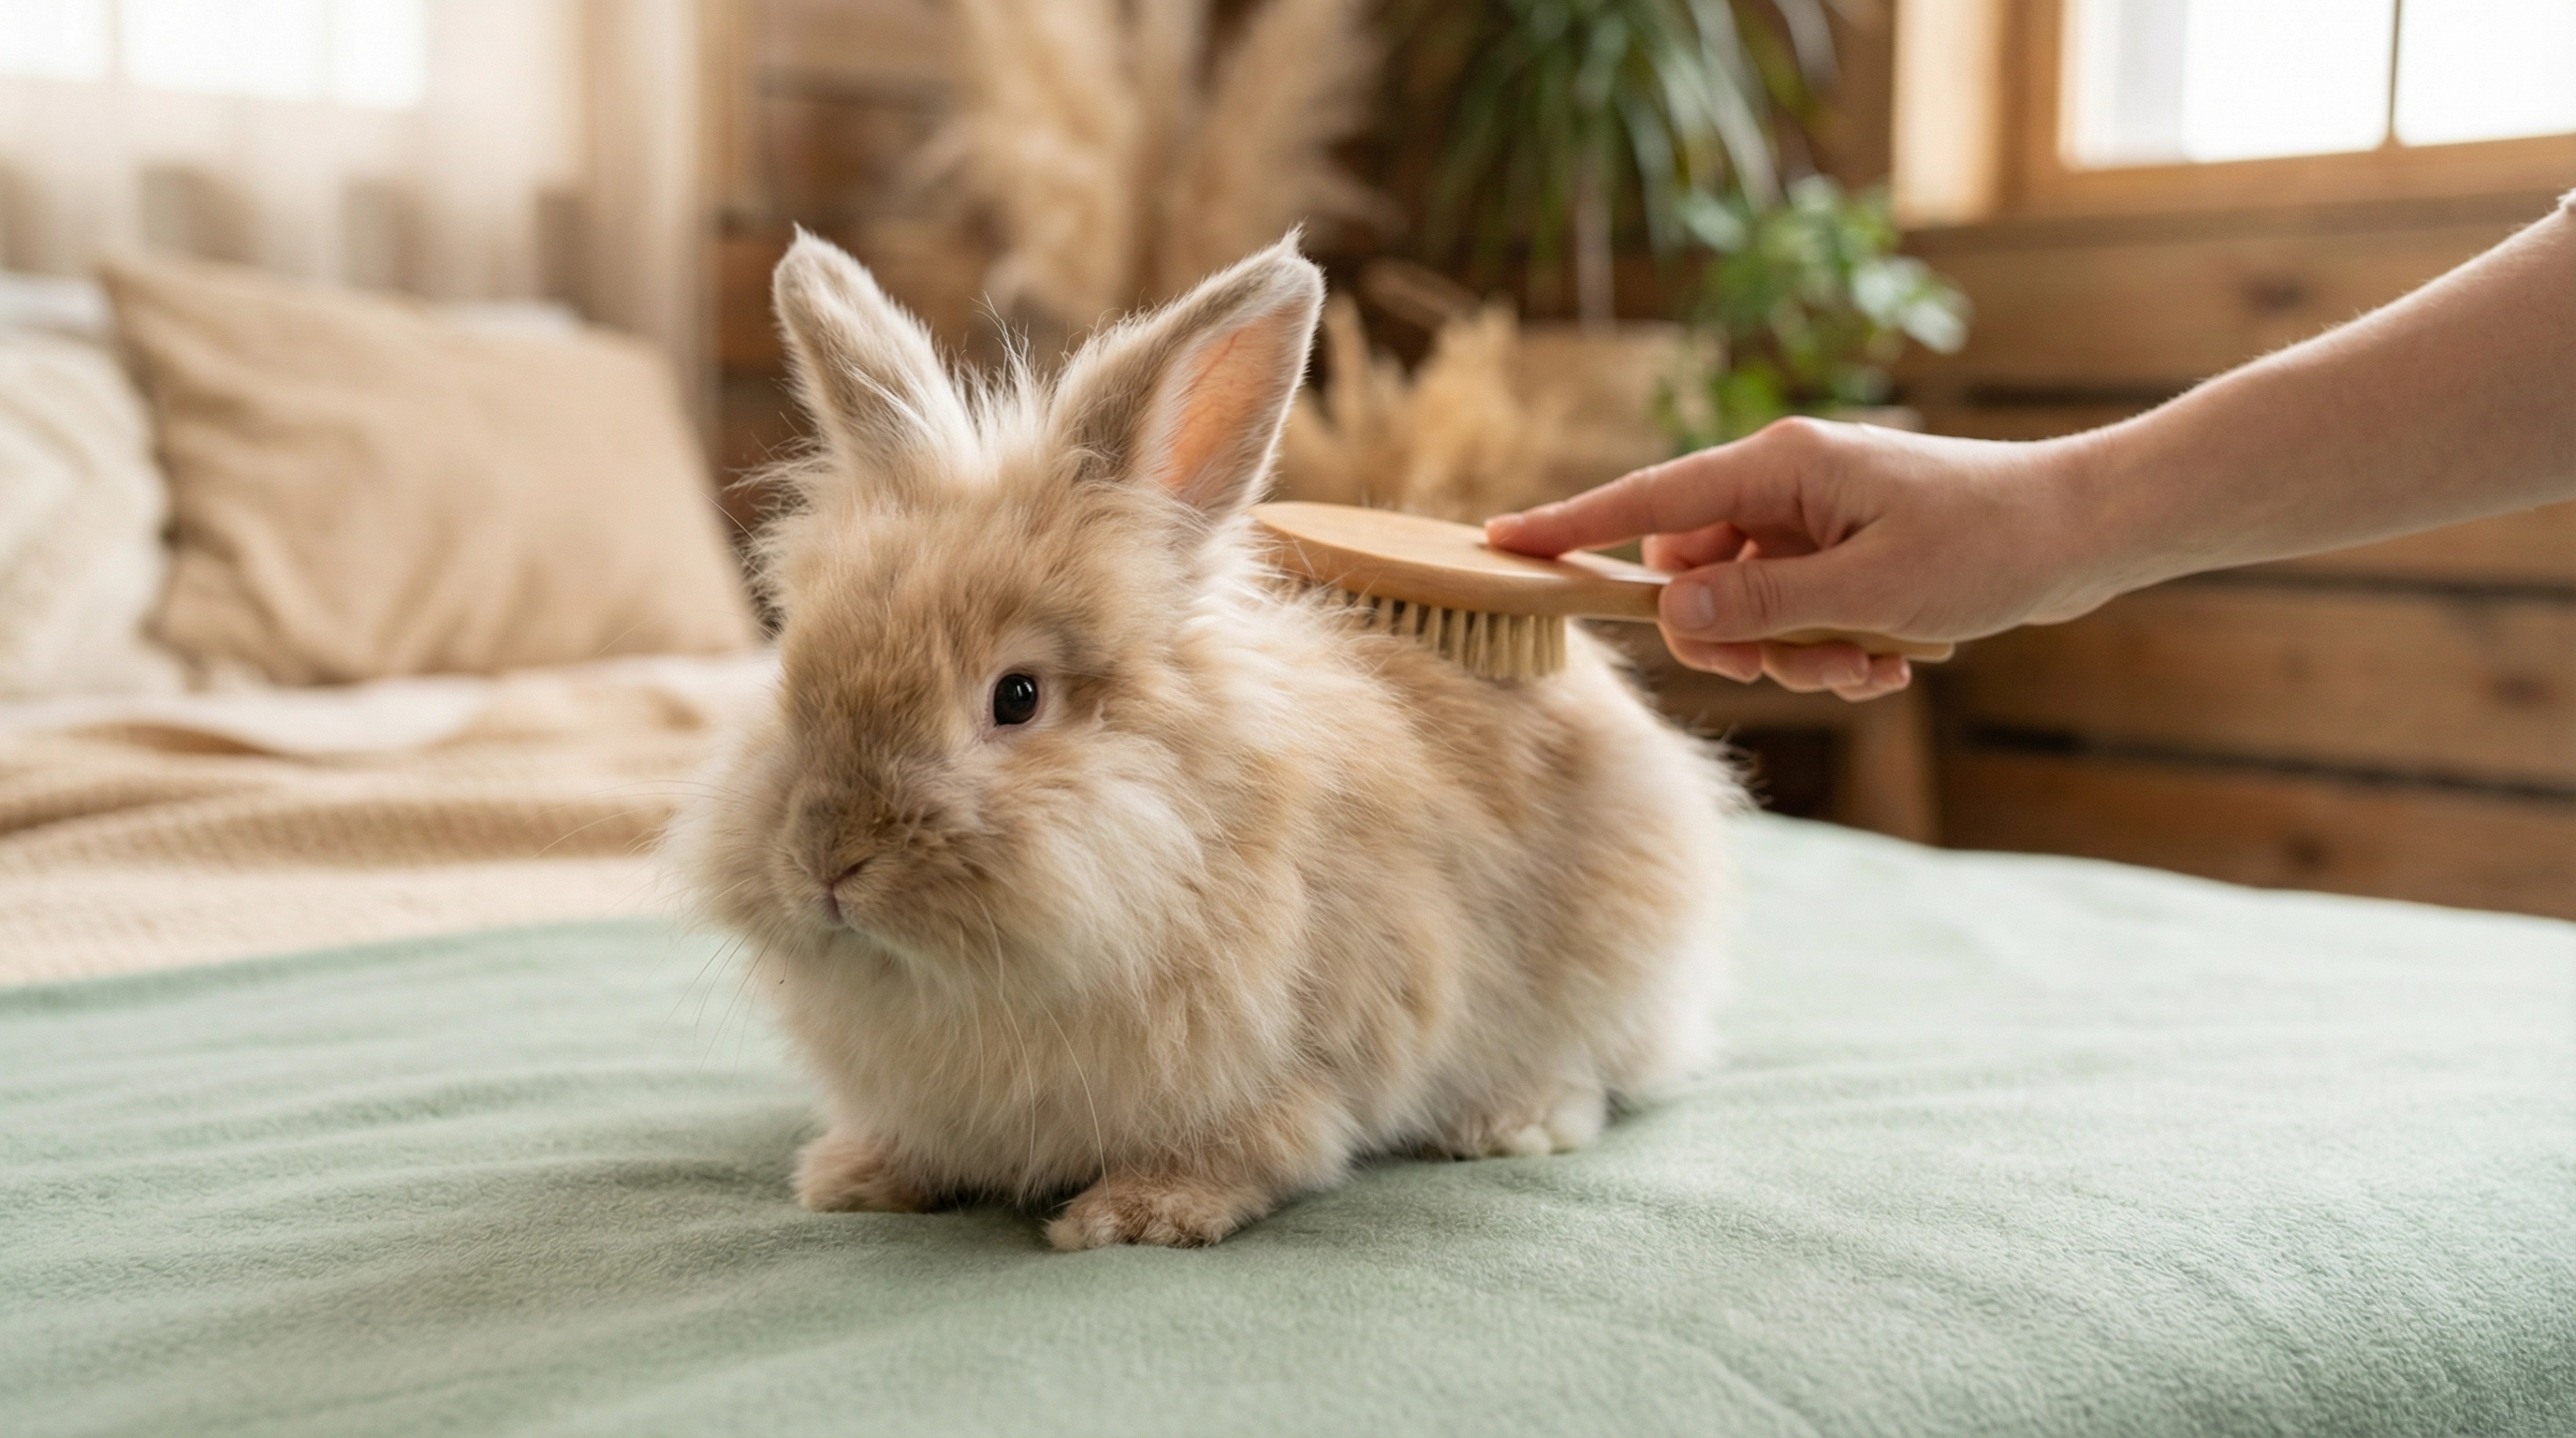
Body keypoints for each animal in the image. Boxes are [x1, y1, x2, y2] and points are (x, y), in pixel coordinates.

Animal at [663, 230, 1744, 1251]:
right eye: (793, 673)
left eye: (1017, 698)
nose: (827, 862)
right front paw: (852, 1177)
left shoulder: (1311, 1060)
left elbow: (1259, 1145)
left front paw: (1137, 1215)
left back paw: (1510, 1121)